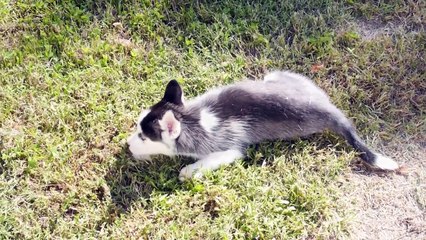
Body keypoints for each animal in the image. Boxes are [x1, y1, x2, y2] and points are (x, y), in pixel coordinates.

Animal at [126, 71, 400, 180]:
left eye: (143, 137)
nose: (126, 146)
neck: (192, 118)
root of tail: (329, 108)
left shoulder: (229, 150)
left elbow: (205, 162)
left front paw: (189, 171)